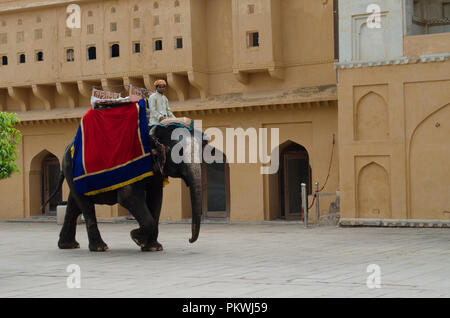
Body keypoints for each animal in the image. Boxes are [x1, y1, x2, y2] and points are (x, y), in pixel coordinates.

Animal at [43, 123, 207, 252]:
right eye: (179, 152)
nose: (189, 240)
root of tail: (66, 149)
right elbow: (128, 197)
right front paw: (136, 238)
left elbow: (156, 198)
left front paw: (153, 247)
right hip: (71, 169)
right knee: (85, 205)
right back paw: (100, 247)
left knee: (74, 204)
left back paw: (68, 245)